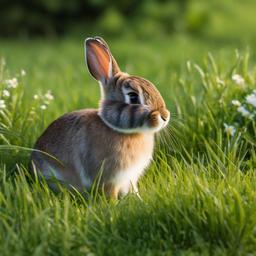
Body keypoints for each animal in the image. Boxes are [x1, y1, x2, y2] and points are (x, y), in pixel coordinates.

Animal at [30, 37, 170, 199]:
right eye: (133, 97)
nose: (165, 116)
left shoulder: (129, 179)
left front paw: (138, 199)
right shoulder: (110, 179)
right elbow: (110, 193)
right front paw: (114, 204)